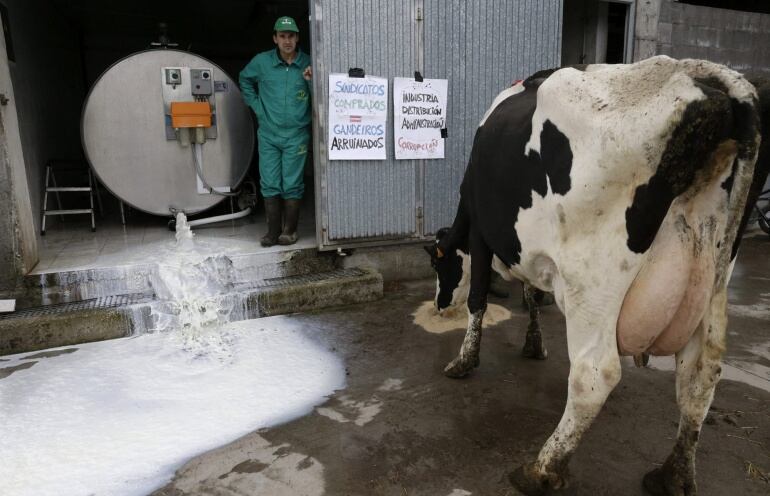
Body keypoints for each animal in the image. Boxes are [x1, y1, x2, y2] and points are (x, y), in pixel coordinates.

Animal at [424, 56, 764, 494]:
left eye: (439, 263)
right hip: (713, 275)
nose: (438, 303)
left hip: (593, 280)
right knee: (700, 375)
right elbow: (532, 295)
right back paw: (672, 476)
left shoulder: (482, 234)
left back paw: (541, 469)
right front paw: (534, 345)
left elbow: (478, 299)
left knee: (595, 374)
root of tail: (706, 77)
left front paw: (463, 362)